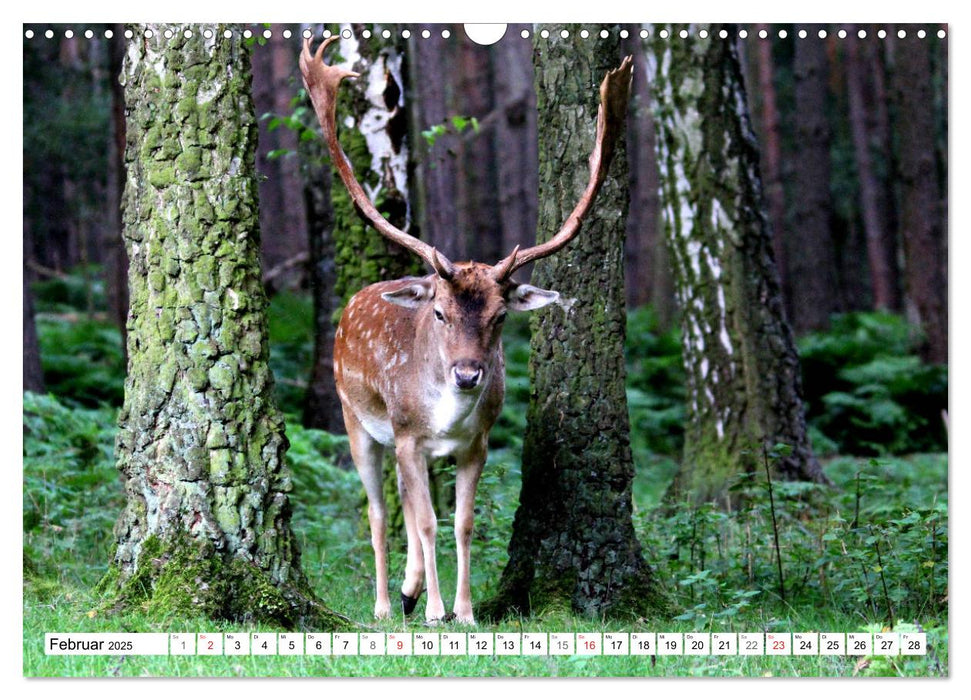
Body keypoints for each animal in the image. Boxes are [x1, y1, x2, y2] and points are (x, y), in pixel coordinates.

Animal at [300, 34, 636, 624]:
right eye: (439, 313)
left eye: (501, 315)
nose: (467, 375)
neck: (446, 420)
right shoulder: (407, 435)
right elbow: (426, 521)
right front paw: (437, 612)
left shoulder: (475, 443)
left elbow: (461, 523)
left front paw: (465, 610)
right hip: (355, 417)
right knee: (379, 511)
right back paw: (386, 605)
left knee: (405, 501)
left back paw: (409, 590)